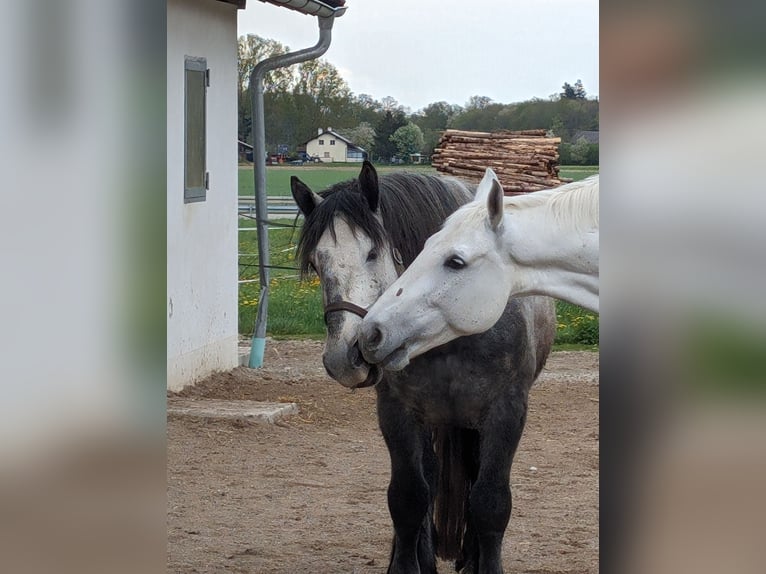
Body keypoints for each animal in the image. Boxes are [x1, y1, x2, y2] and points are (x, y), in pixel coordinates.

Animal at [292, 162, 556, 574]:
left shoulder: (506, 412)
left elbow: (491, 502)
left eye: (372, 252)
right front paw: (407, 564)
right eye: (317, 263)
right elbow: (409, 497)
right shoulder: (397, 412)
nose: (344, 356)